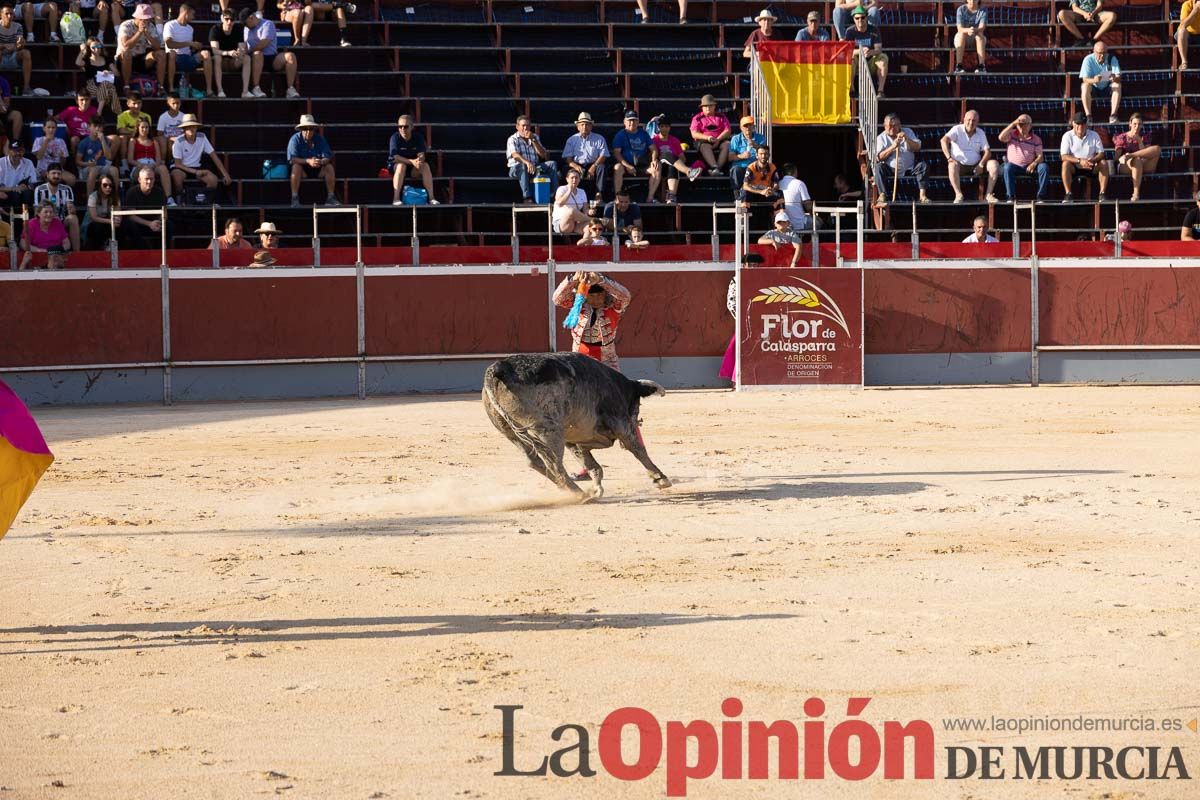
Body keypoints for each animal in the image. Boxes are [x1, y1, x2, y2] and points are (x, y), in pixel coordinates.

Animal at [484, 352, 676, 496]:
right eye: (637, 405)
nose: (637, 420)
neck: (619, 386)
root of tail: (499, 367)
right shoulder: (621, 423)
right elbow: (638, 450)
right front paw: (660, 478)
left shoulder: (573, 441)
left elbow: (591, 465)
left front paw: (597, 488)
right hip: (548, 430)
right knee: (554, 464)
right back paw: (578, 493)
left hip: (509, 431)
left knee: (534, 460)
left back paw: (575, 491)